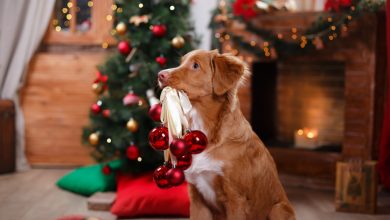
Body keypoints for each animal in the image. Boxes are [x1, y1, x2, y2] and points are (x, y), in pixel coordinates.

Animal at [157, 49, 294, 220]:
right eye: (181, 62)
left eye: (195, 65)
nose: (160, 75)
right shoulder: (197, 199)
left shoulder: (236, 199)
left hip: (278, 209)